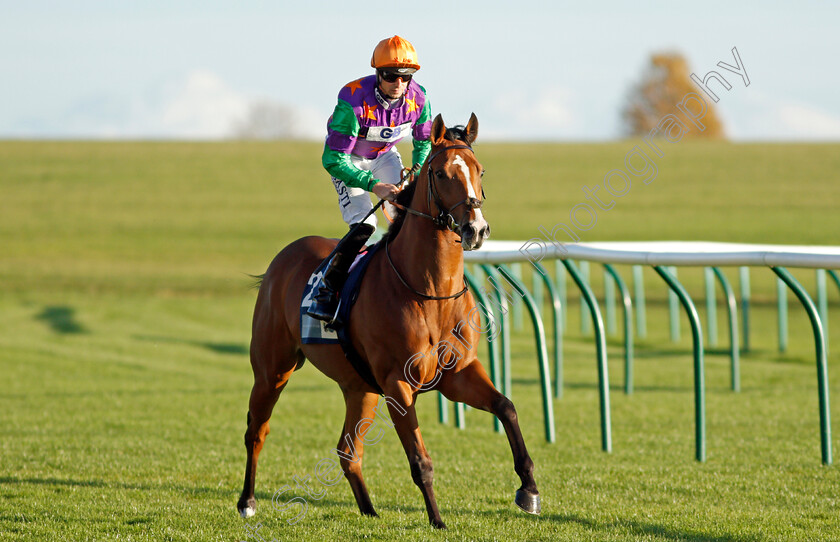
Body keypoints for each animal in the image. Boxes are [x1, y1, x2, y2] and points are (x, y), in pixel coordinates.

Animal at [238, 112, 540, 528]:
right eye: (442, 173)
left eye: (480, 170)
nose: (476, 229)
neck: (430, 291)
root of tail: (283, 257)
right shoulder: (398, 383)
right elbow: (420, 460)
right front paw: (437, 520)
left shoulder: (458, 373)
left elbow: (506, 406)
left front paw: (529, 489)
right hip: (273, 369)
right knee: (257, 430)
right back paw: (247, 501)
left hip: (358, 386)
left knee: (348, 451)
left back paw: (368, 510)